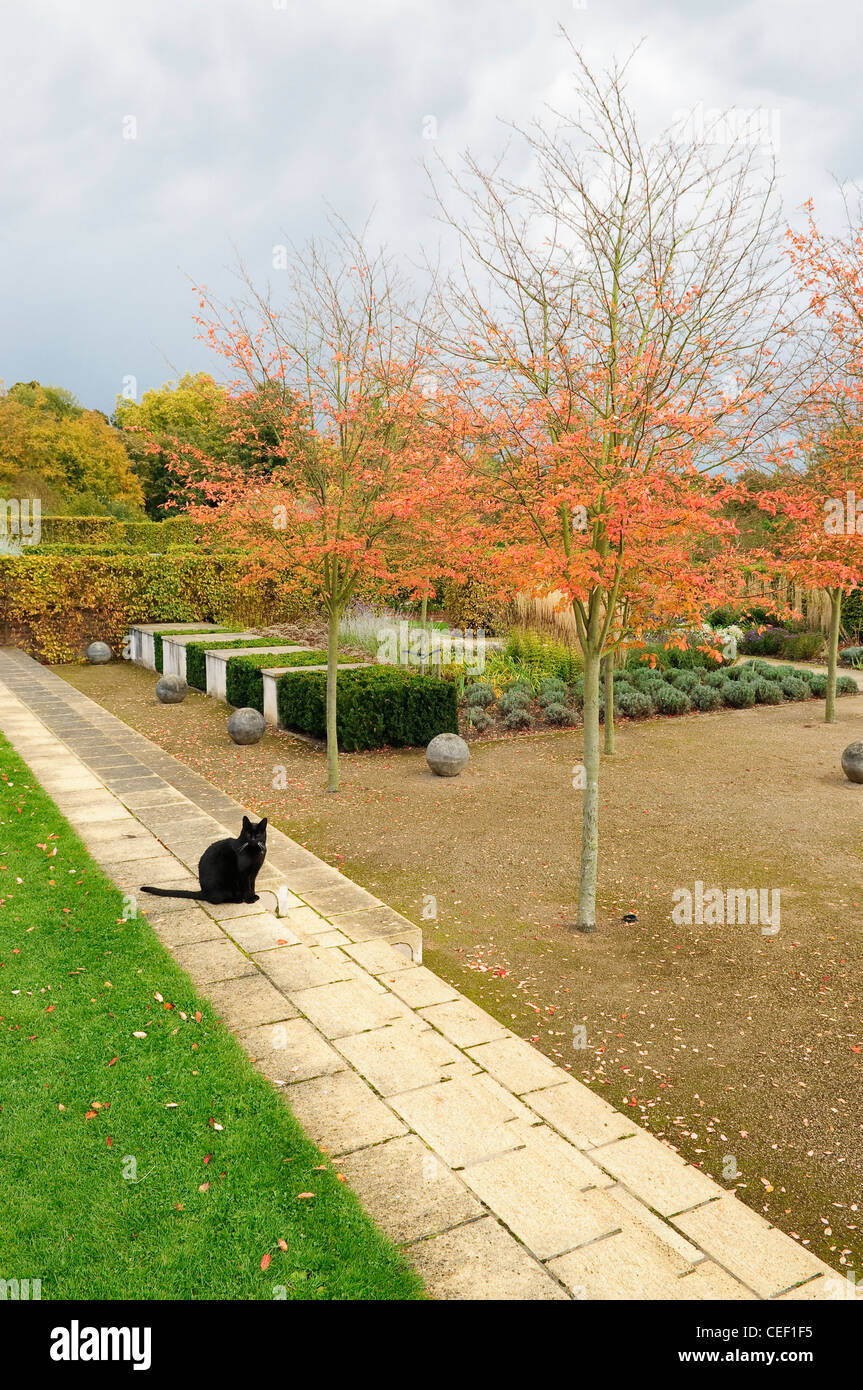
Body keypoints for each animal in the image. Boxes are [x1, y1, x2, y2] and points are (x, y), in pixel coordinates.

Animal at [139, 817, 268, 906]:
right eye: (248, 834)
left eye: (258, 834)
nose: (253, 840)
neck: (254, 852)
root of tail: (203, 891)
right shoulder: (243, 873)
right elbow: (246, 886)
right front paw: (249, 899)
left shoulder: (254, 872)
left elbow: (252, 885)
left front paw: (253, 895)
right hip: (224, 886)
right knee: (216, 899)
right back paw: (237, 899)